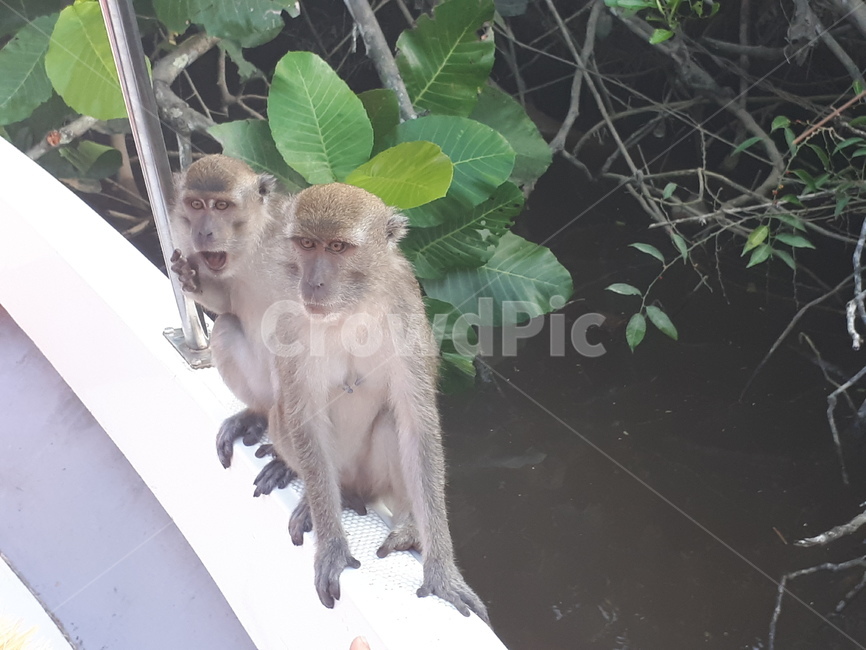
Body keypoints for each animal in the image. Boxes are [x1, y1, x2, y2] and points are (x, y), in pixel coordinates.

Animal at [267, 183, 489, 624]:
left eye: (337, 247)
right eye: (307, 244)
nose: (314, 283)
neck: (350, 305)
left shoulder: (405, 308)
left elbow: (417, 422)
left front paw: (441, 570)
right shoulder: (288, 309)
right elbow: (303, 415)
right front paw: (333, 545)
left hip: (375, 479)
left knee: (393, 422)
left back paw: (407, 523)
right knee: (282, 415)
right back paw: (316, 501)